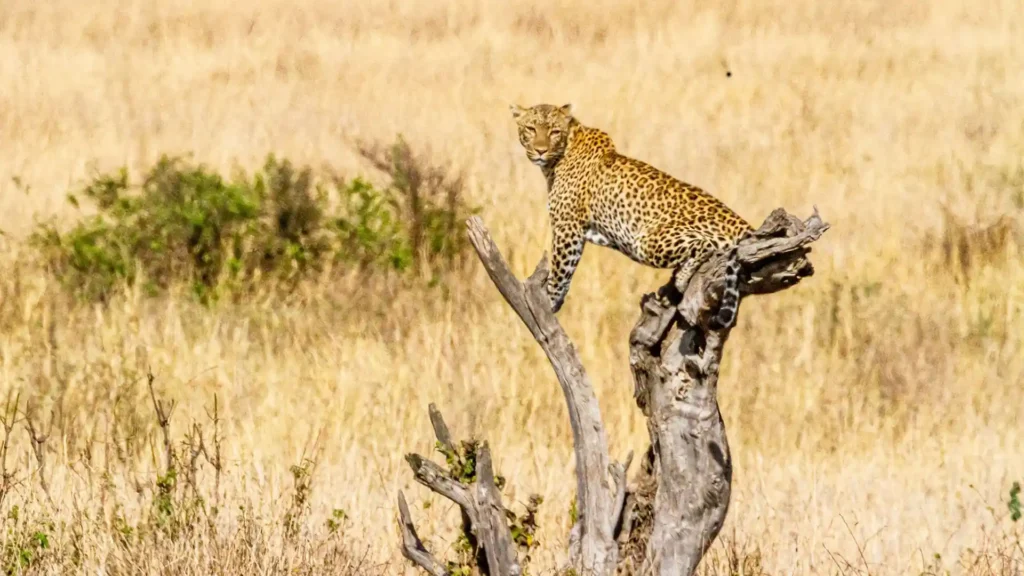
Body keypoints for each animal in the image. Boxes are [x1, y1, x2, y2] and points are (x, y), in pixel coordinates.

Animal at [512, 102, 753, 325]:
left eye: (554, 131)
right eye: (531, 129)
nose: (540, 150)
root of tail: (744, 225)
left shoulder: (567, 227)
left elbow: (561, 270)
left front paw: (549, 301)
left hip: (646, 242)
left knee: (706, 246)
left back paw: (681, 279)